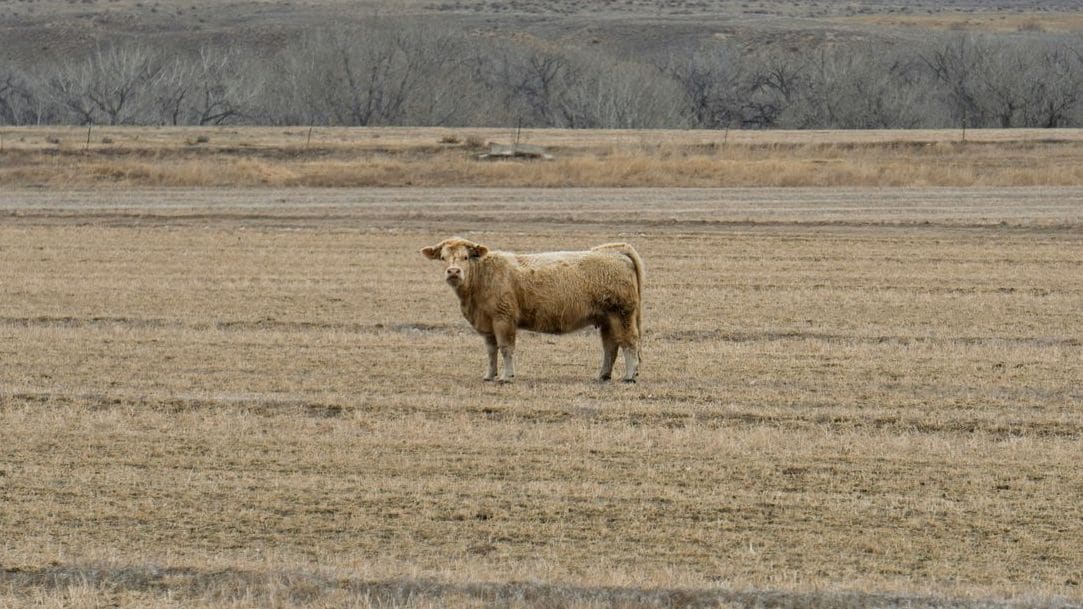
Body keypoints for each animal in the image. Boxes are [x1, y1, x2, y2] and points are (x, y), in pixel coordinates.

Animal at [421, 237, 644, 383]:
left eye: (465, 257)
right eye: (443, 258)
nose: (453, 271)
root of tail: (614, 251)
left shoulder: (503, 319)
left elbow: (506, 348)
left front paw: (506, 376)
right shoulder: (486, 325)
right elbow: (491, 351)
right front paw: (489, 375)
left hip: (622, 314)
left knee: (629, 342)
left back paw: (629, 376)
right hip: (607, 319)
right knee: (610, 346)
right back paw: (603, 375)